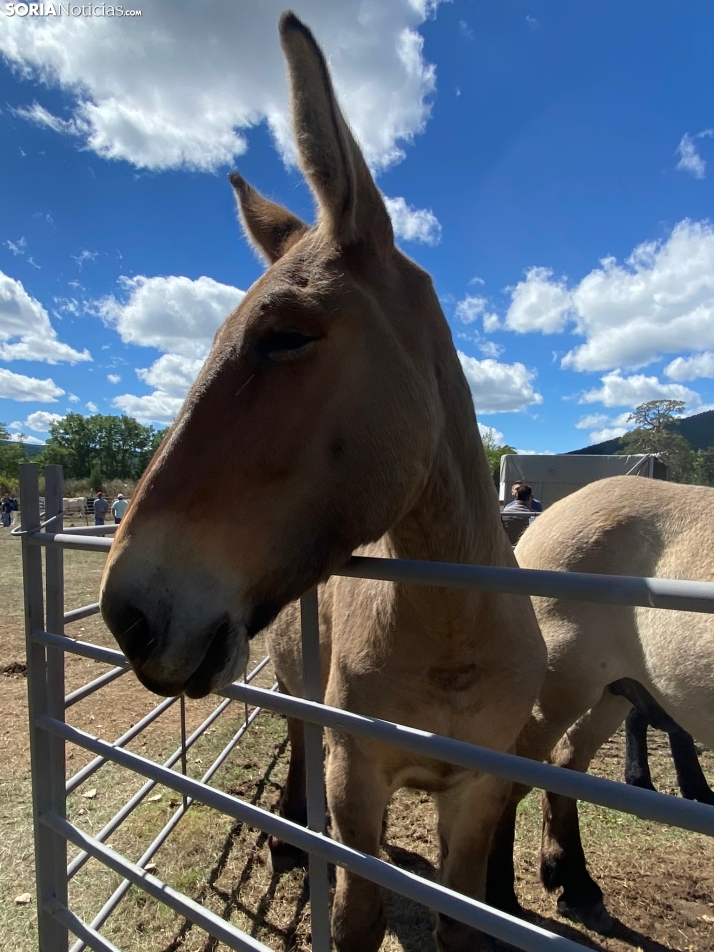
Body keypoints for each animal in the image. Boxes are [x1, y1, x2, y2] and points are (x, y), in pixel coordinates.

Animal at [100, 14, 544, 952]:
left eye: (287, 335)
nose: (128, 613)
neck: (452, 629)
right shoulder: (357, 774)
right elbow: (359, 910)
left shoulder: (478, 796)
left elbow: (457, 915)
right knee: (301, 741)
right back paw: (288, 839)